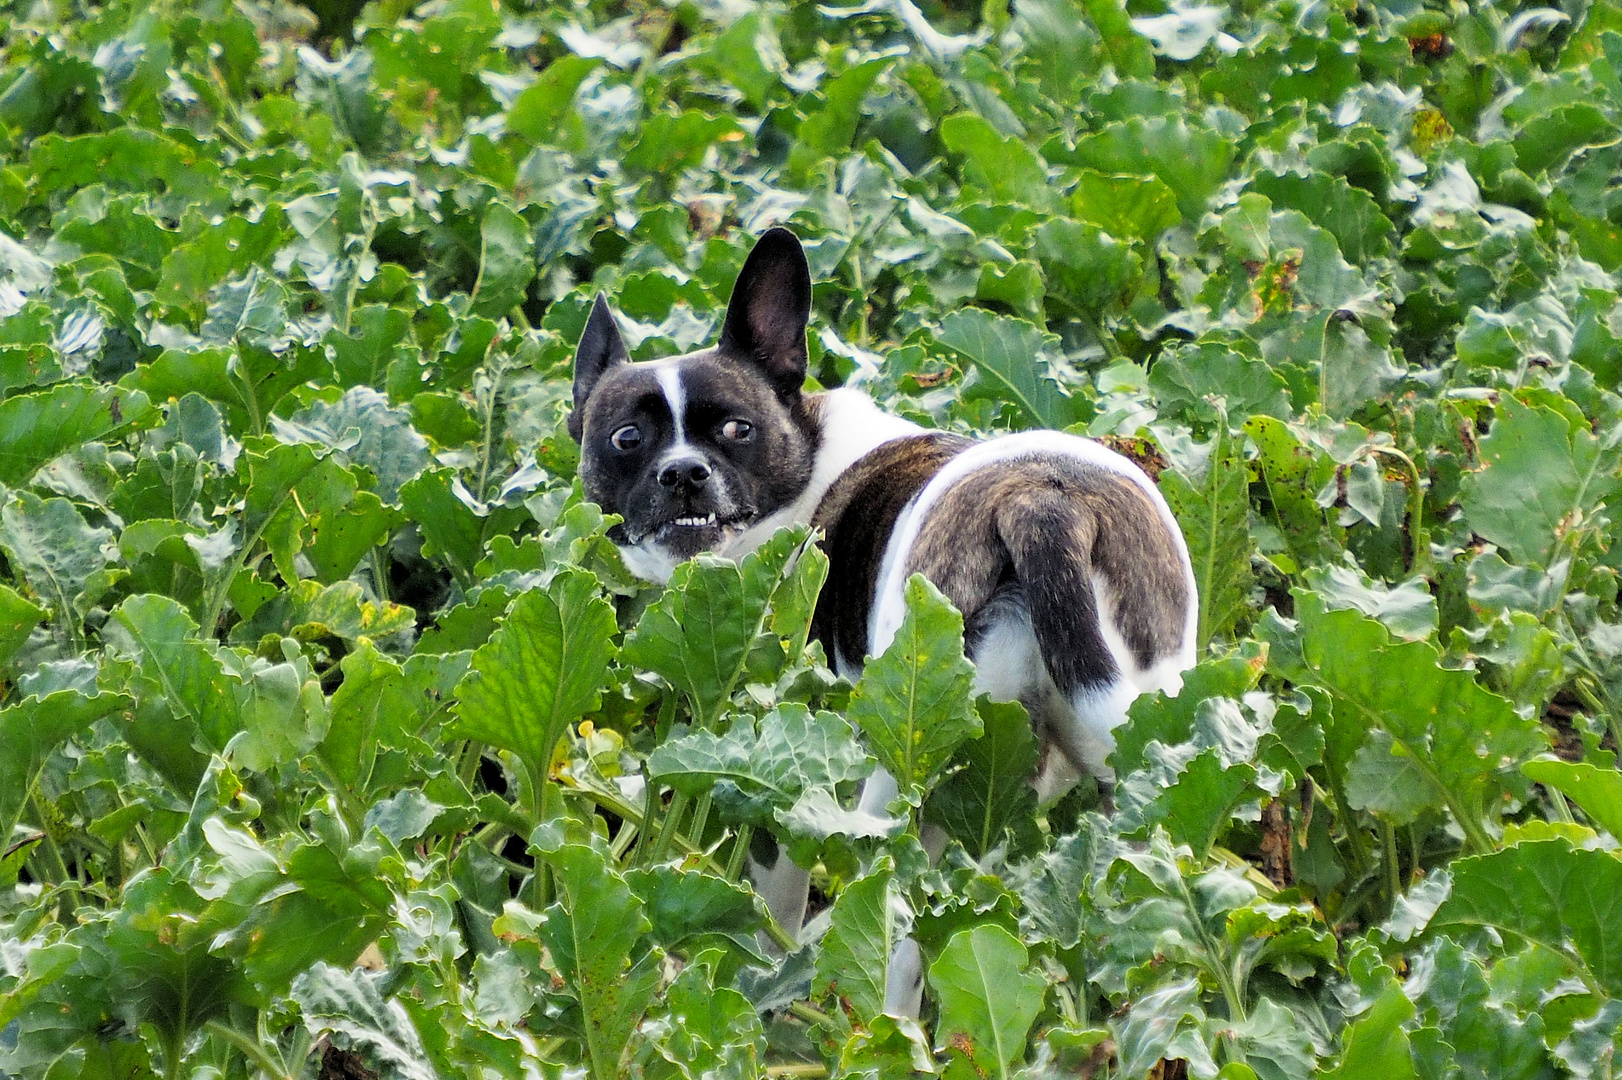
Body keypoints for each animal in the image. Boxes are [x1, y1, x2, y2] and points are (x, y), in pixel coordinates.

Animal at [570, 228, 1193, 1011]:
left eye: (738, 430)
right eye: (627, 439)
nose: (683, 472)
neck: (806, 464)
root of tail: (1043, 501)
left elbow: (773, 902)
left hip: (900, 780)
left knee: (900, 922)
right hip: (1137, 761)